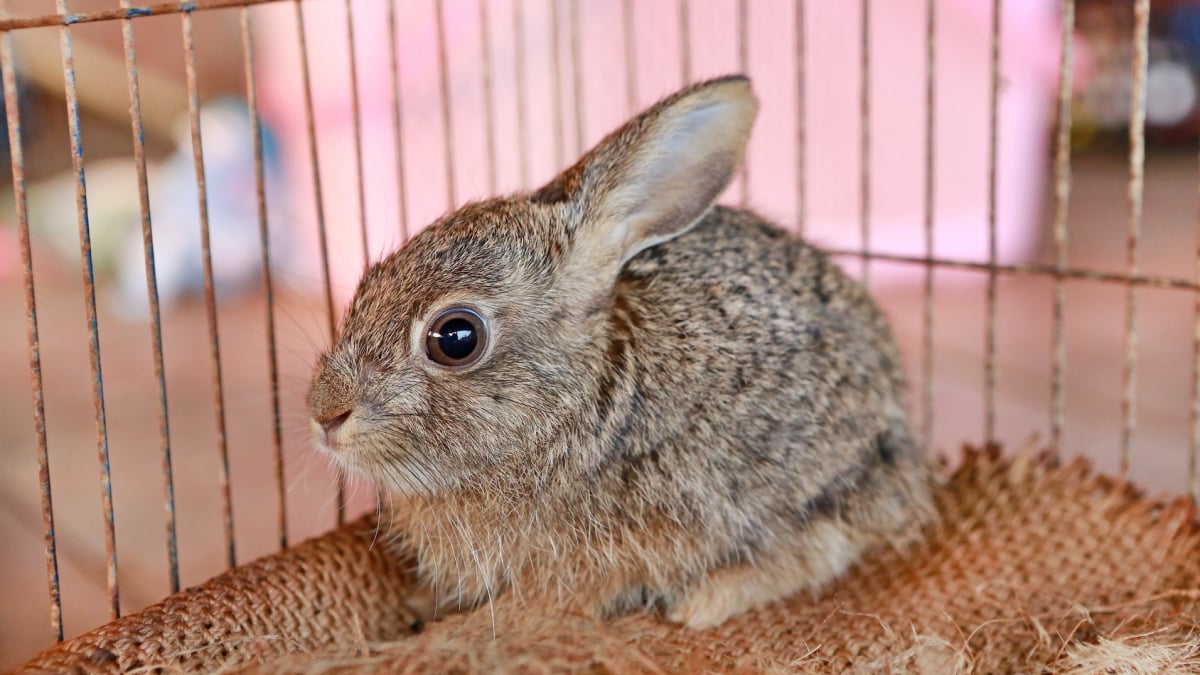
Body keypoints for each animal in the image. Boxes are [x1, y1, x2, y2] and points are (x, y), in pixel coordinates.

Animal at [307, 76, 936, 629]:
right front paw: (420, 605)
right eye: (366, 283)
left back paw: (703, 603)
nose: (323, 413)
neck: (582, 400)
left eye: (456, 338)